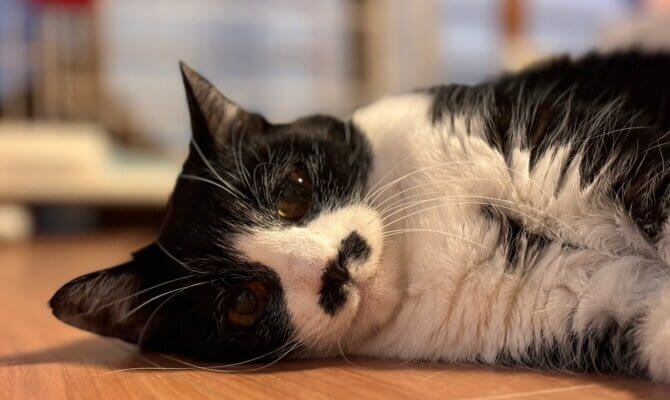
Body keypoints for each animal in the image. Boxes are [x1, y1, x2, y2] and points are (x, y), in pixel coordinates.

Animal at [50, 50, 670, 382]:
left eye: (293, 190)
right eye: (243, 303)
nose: (334, 267)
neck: (424, 249)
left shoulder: (565, 148)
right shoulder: (571, 301)